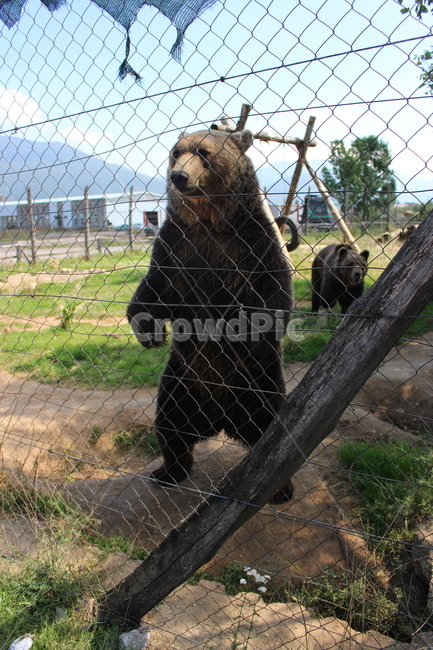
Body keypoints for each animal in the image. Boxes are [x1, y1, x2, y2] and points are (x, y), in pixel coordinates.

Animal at [127, 128, 294, 504]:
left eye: (204, 152)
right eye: (176, 153)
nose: (179, 177)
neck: (210, 221)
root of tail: (220, 421)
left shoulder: (252, 242)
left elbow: (272, 290)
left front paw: (247, 333)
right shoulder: (176, 246)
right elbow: (153, 289)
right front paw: (150, 331)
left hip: (259, 384)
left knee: (272, 432)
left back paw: (281, 488)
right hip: (181, 380)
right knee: (170, 424)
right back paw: (168, 471)